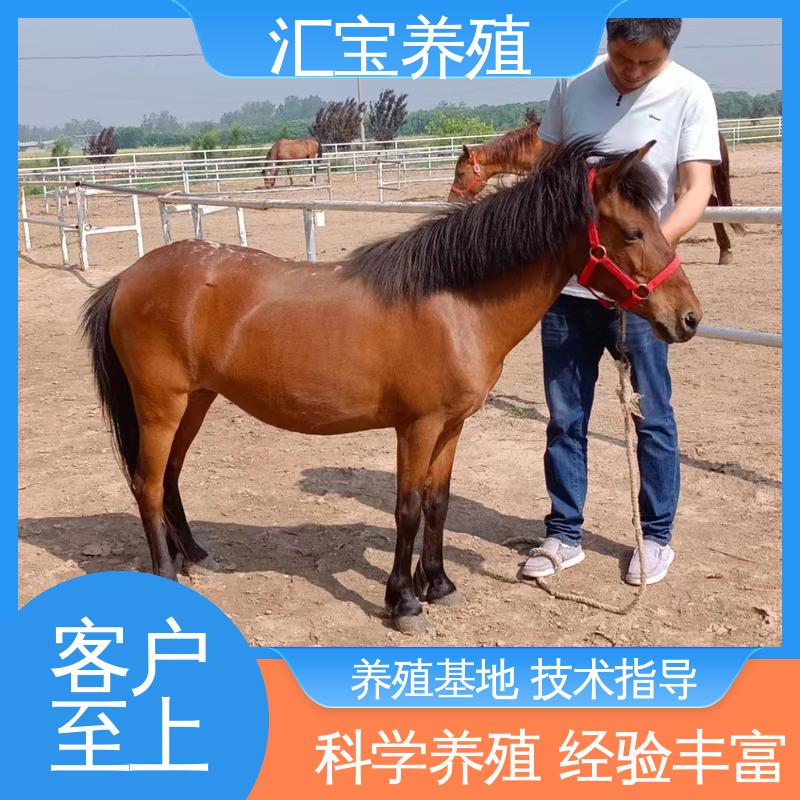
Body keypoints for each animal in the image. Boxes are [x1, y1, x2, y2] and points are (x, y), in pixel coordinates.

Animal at [82, 138, 702, 633]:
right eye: (633, 231)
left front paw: (440, 585)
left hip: (196, 401)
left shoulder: (451, 427)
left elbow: (438, 504)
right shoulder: (416, 427)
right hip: (161, 406)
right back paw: (167, 572)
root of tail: (128, 278)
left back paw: (194, 554)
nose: (689, 317)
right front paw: (403, 602)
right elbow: (406, 509)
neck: (454, 304)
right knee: (147, 483)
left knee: (169, 476)